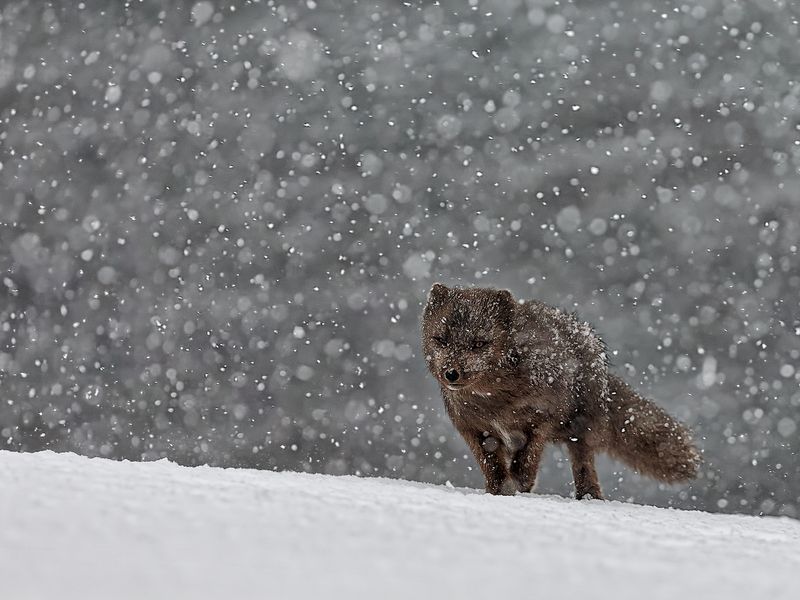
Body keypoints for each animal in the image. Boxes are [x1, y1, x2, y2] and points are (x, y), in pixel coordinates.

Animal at [418, 284, 700, 500]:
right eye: (441, 339)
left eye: (479, 343)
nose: (451, 373)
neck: (494, 401)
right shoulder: (473, 428)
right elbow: (492, 466)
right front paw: (499, 492)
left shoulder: (544, 417)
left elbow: (529, 456)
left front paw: (522, 481)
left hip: (581, 427)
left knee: (584, 462)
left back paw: (589, 498)